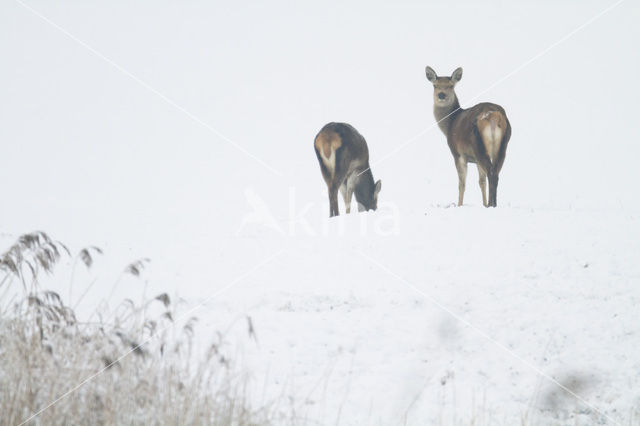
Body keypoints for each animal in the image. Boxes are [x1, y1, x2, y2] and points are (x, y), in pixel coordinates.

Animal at [424, 65, 510, 207]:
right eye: (435, 85)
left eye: (451, 86)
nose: (441, 95)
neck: (449, 125)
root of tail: (493, 115)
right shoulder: (474, 159)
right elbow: (481, 182)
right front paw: (483, 204)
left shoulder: (458, 153)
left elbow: (462, 183)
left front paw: (459, 204)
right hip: (503, 144)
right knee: (495, 173)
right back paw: (493, 204)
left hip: (478, 144)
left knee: (491, 173)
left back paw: (491, 205)